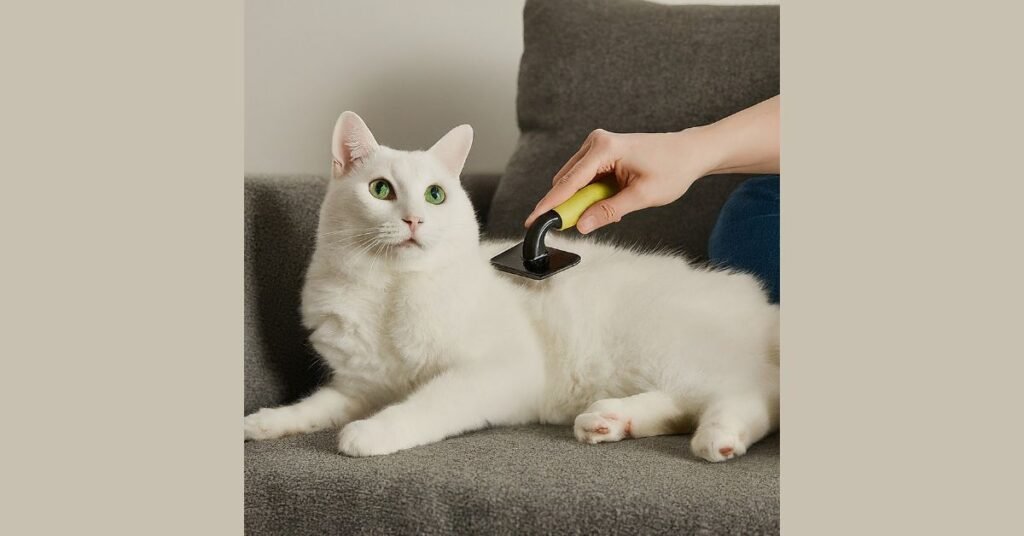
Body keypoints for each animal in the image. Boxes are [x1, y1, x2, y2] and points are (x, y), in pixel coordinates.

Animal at [243, 111, 778, 463]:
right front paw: (266, 422)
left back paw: (718, 438)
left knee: (750, 395)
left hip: (670, 350)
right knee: (689, 403)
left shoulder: (496, 371)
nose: (415, 219)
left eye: (435, 195)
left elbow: (429, 403)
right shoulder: (360, 385)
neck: (389, 292)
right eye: (380, 190)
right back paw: (607, 420)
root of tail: (765, 306)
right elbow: (316, 407)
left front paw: (372, 433)